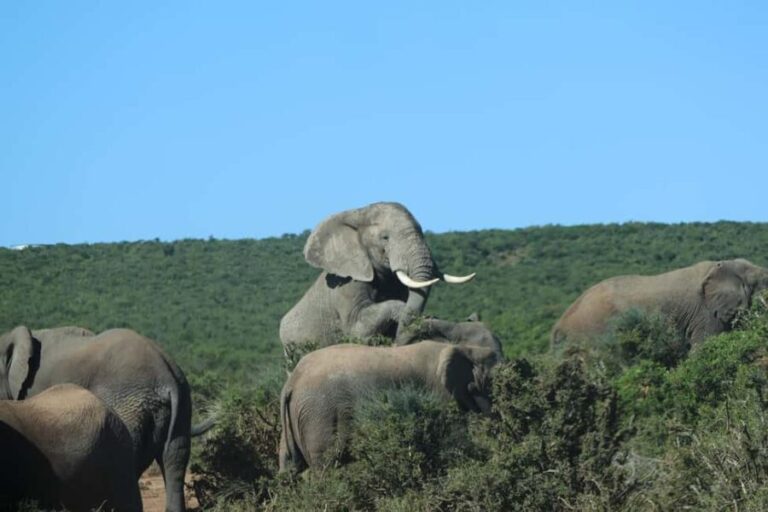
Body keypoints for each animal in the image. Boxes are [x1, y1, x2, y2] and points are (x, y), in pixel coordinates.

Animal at [278, 340, 500, 473]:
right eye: (494, 383)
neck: (465, 349)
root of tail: (292, 382)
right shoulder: (441, 395)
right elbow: (454, 437)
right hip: (320, 415)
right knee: (327, 464)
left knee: (289, 465)